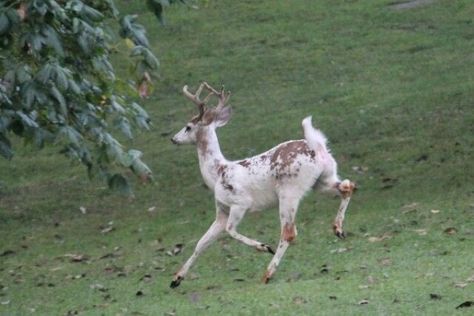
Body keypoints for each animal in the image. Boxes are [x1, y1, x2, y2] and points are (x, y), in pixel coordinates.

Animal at [170, 82, 356, 288]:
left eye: (188, 127)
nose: (173, 139)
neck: (217, 173)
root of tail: (319, 148)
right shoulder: (222, 211)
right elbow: (201, 243)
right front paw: (176, 278)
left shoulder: (240, 202)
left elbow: (230, 231)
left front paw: (264, 246)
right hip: (323, 180)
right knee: (348, 186)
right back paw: (338, 229)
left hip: (289, 191)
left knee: (289, 232)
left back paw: (268, 273)